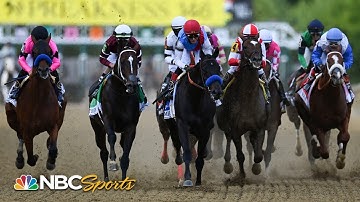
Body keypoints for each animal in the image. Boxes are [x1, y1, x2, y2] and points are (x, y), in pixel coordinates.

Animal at [5, 36, 67, 170]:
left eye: (50, 52)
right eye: (34, 52)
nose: (43, 70)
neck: (40, 100)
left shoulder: (53, 125)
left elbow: (53, 147)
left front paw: (51, 161)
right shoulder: (27, 131)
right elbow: (31, 159)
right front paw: (33, 157)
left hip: (61, 114)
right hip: (11, 117)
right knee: (19, 136)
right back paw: (19, 159)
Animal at [89, 47, 141, 181]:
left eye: (136, 62)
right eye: (122, 62)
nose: (132, 84)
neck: (121, 94)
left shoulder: (131, 126)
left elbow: (126, 153)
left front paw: (124, 179)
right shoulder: (108, 120)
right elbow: (112, 137)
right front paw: (113, 163)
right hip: (97, 128)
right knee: (103, 152)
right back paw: (106, 178)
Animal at [174, 50, 222, 186]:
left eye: (218, 69)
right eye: (205, 70)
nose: (217, 92)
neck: (194, 99)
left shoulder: (205, 129)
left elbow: (200, 158)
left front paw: (199, 181)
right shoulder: (182, 125)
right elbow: (187, 152)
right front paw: (187, 179)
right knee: (178, 146)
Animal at [217, 38, 268, 179]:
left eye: (259, 47)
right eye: (244, 47)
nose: (257, 60)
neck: (248, 99)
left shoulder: (260, 128)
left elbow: (258, 156)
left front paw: (256, 168)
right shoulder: (235, 130)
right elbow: (240, 155)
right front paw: (241, 175)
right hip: (225, 125)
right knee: (228, 139)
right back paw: (227, 164)